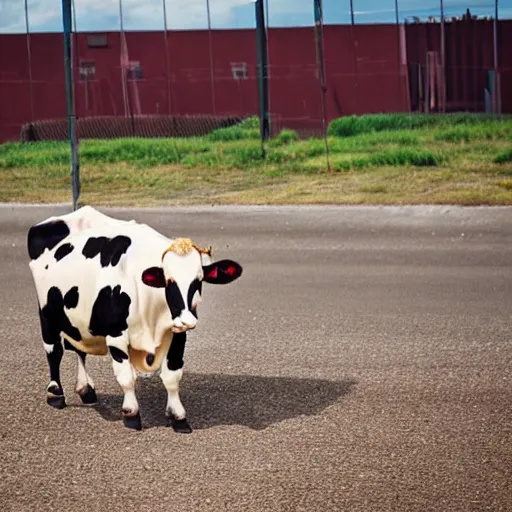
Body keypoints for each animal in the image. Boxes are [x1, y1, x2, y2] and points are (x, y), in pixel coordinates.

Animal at [27, 206, 243, 430]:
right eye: (168, 281)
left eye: (199, 280)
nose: (187, 320)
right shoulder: (116, 334)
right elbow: (126, 377)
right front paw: (131, 413)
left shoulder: (176, 333)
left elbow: (173, 375)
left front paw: (178, 417)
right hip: (46, 313)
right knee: (54, 351)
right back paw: (55, 393)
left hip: (79, 321)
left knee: (79, 350)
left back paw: (85, 389)